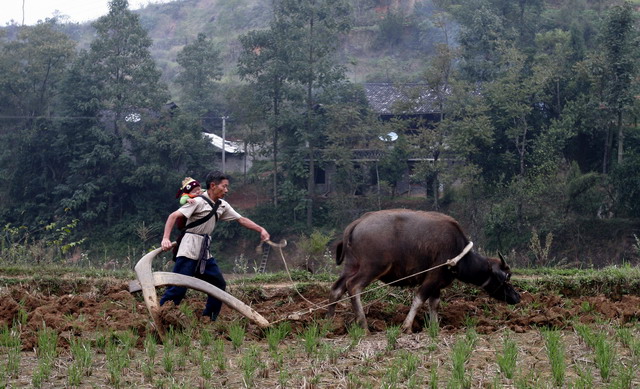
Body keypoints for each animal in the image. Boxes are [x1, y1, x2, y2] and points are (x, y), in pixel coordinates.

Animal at [324, 209, 520, 330]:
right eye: (506, 277)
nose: (517, 297)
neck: (458, 253)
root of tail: (357, 223)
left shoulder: (438, 283)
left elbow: (434, 304)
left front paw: (434, 327)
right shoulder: (433, 277)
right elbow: (419, 299)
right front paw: (406, 326)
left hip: (351, 266)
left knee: (337, 289)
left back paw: (330, 321)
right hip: (372, 267)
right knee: (353, 287)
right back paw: (363, 324)